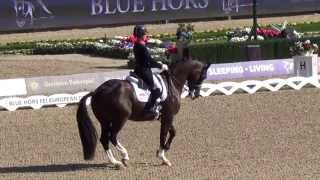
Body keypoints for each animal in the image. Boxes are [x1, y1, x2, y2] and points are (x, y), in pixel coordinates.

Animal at [75, 58, 210, 168]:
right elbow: (163, 135)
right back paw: (124, 157)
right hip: (120, 119)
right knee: (112, 137)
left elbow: (173, 133)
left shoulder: (164, 116)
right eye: (203, 76)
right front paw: (163, 157)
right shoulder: (168, 115)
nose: (196, 95)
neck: (172, 83)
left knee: (104, 139)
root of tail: (97, 91)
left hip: (105, 121)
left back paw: (115, 162)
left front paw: (162, 151)